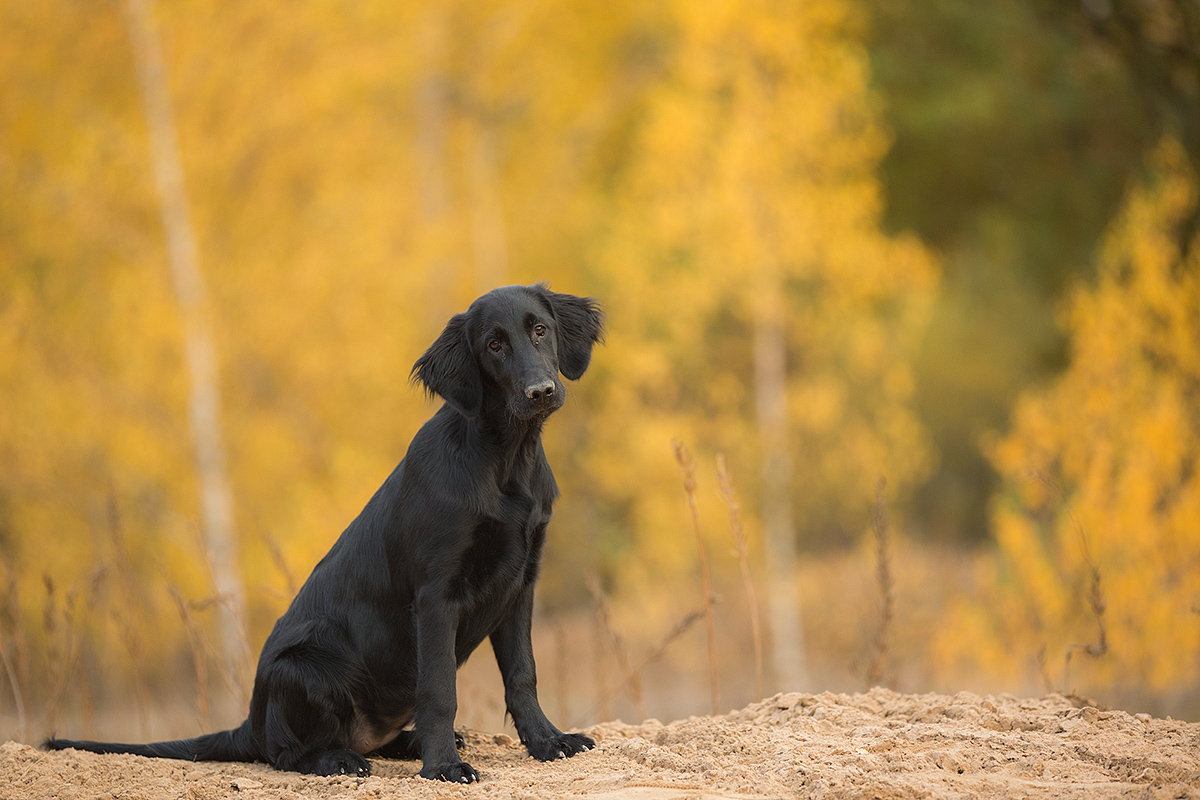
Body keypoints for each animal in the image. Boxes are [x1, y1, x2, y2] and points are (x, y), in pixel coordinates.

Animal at [45, 283, 600, 782]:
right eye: (493, 346)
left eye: (540, 330)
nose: (541, 392)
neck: (505, 459)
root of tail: (250, 722)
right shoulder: (435, 594)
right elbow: (440, 690)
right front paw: (443, 766)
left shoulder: (520, 582)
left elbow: (523, 674)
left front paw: (548, 740)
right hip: (306, 667)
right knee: (285, 753)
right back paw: (340, 759)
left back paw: (406, 744)